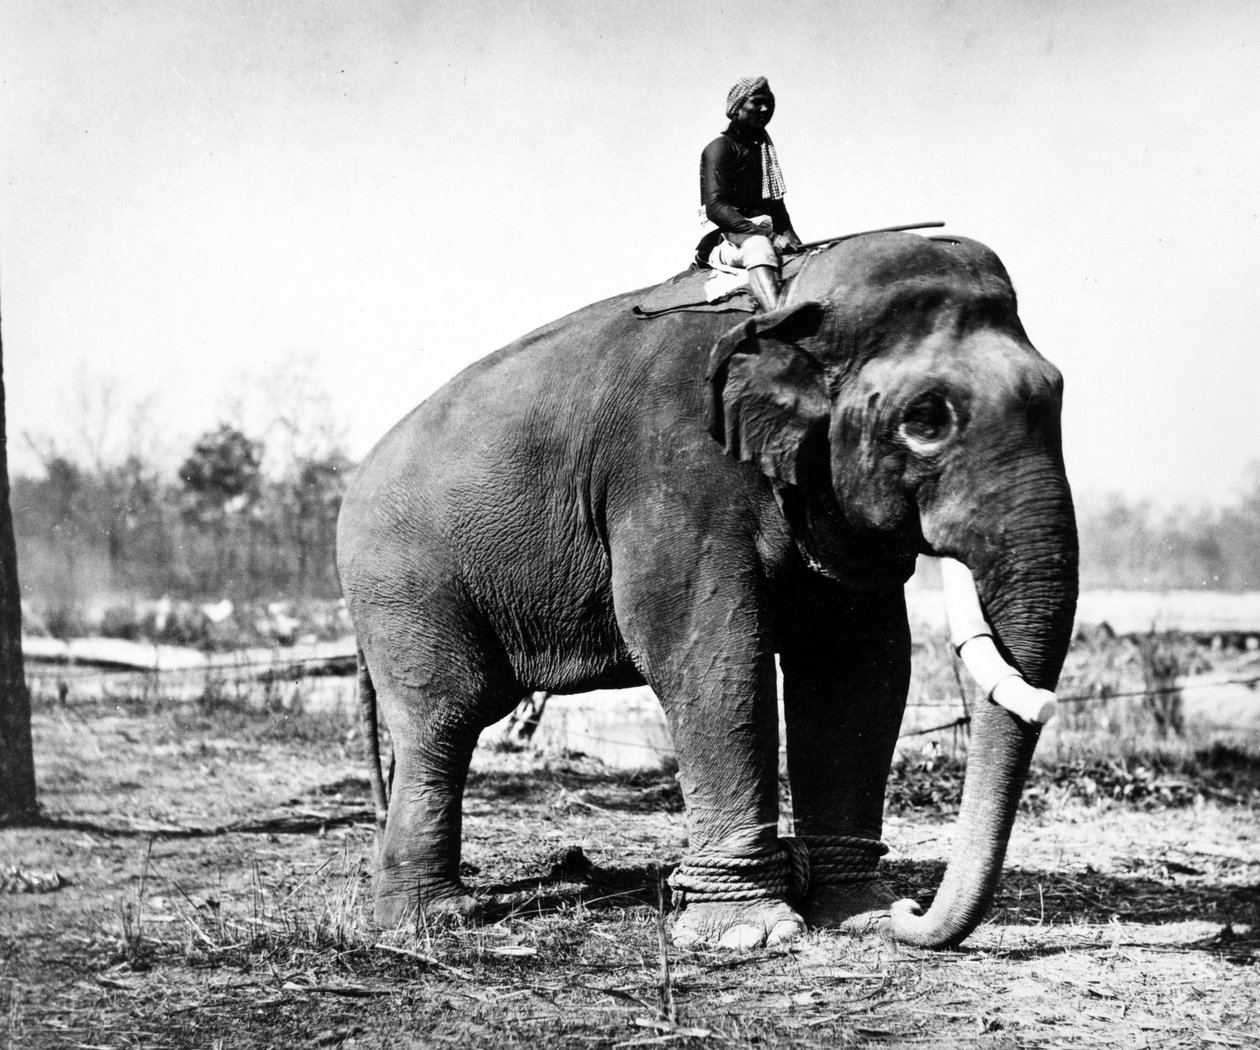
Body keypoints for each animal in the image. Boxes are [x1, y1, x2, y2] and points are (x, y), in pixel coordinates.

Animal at [336, 231, 1078, 950]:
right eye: (925, 420)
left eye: (1057, 395)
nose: (913, 908)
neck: (790, 299)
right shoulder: (677, 470)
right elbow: (708, 651)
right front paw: (751, 934)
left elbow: (858, 665)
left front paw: (861, 914)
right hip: (403, 584)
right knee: (445, 717)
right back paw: (432, 920)